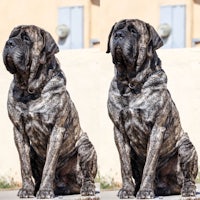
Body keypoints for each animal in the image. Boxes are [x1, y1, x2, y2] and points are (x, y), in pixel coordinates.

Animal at [2, 25, 97, 199]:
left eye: (26, 38)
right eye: (11, 36)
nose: (8, 43)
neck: (30, 89)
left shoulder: (56, 130)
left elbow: (49, 165)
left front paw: (45, 191)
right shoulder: (18, 130)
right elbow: (24, 166)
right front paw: (27, 190)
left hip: (85, 146)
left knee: (87, 176)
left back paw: (86, 188)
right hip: (33, 151)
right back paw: (36, 188)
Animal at [106, 18, 198, 198]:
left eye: (133, 31)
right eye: (116, 30)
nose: (118, 35)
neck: (131, 83)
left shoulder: (157, 129)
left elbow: (150, 164)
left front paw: (146, 191)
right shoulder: (118, 130)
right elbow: (124, 166)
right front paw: (127, 190)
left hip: (186, 146)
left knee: (188, 177)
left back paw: (188, 189)